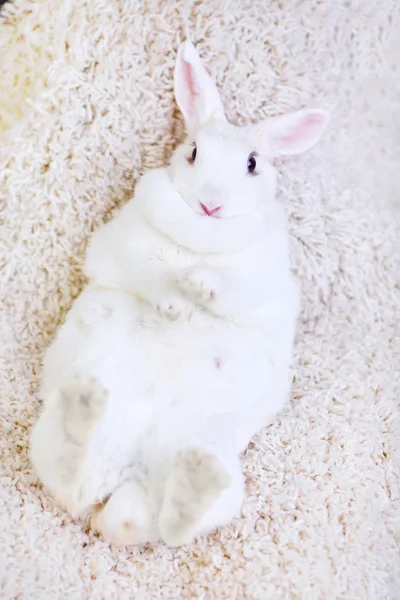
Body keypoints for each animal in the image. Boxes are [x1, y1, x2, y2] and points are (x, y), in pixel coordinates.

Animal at [29, 41, 326, 548]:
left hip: (217, 477)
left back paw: (195, 477)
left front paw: (200, 285)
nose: (211, 202)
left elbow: (229, 289)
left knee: (167, 524)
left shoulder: (262, 286)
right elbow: (153, 275)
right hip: (56, 437)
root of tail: (125, 478)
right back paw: (86, 411)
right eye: (193, 152)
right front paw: (175, 304)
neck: (201, 240)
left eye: (252, 164)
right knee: (71, 478)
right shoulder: (128, 246)